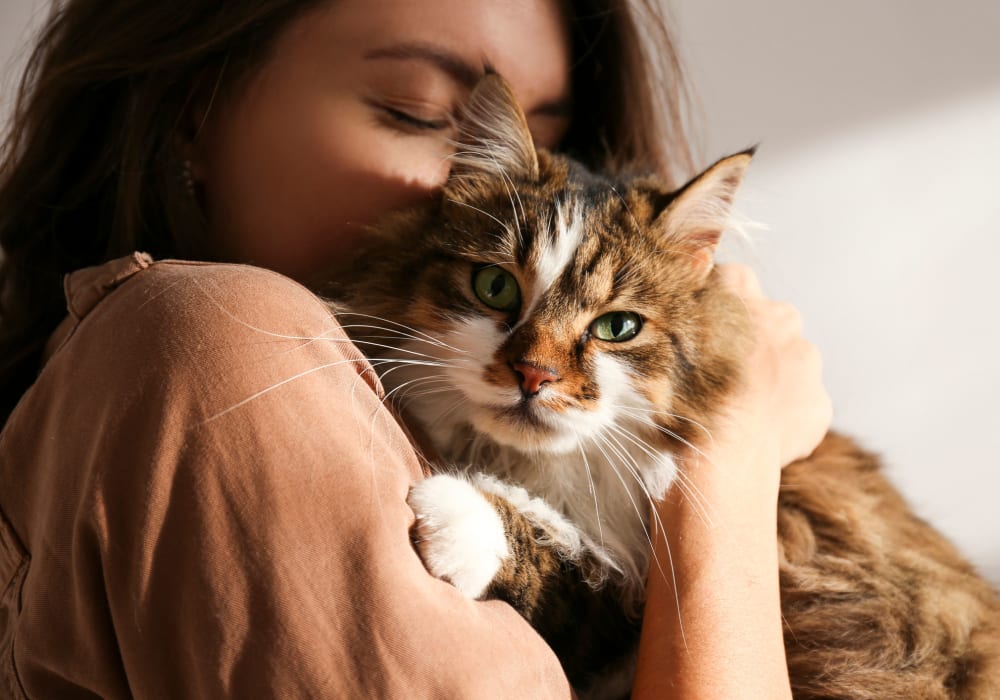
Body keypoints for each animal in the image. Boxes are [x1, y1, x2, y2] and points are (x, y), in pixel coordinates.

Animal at [322, 74, 1000, 696]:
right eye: (495, 287)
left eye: (617, 327)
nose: (534, 374)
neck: (539, 470)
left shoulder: (622, 604)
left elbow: (560, 558)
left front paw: (458, 515)